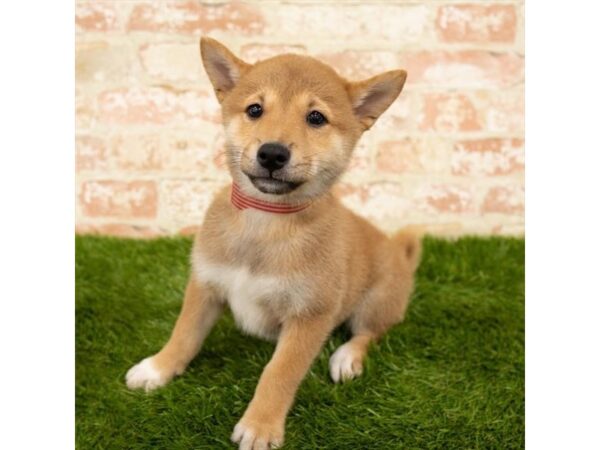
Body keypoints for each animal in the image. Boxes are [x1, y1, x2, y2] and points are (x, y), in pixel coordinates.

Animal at [124, 37, 420, 448]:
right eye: (255, 109)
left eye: (316, 118)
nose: (272, 153)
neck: (264, 222)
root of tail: (400, 256)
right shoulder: (206, 284)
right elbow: (183, 335)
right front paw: (158, 368)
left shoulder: (310, 314)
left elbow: (279, 373)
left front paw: (260, 425)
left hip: (375, 302)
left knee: (368, 333)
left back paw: (346, 358)